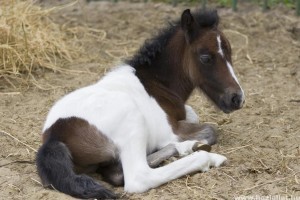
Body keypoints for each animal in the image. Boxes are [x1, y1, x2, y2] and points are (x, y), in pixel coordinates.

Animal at [36, 9, 245, 200]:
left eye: (230, 52)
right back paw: (204, 155)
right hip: (132, 119)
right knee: (138, 178)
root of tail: (54, 136)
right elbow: (210, 131)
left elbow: (193, 115)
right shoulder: (169, 132)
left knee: (116, 173)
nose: (237, 98)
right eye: (205, 57)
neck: (155, 86)